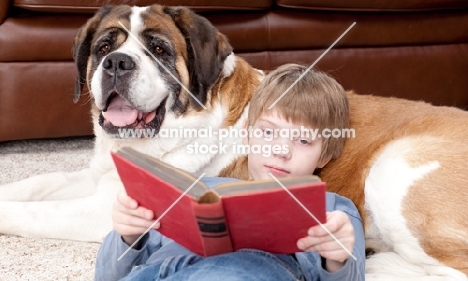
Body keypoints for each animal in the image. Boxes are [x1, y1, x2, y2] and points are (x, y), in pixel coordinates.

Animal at [0, 3, 466, 278]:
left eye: (159, 50)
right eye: (103, 47)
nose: (117, 63)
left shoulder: (102, 207)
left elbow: (40, 212)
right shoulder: (98, 176)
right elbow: (36, 184)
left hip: (393, 169)